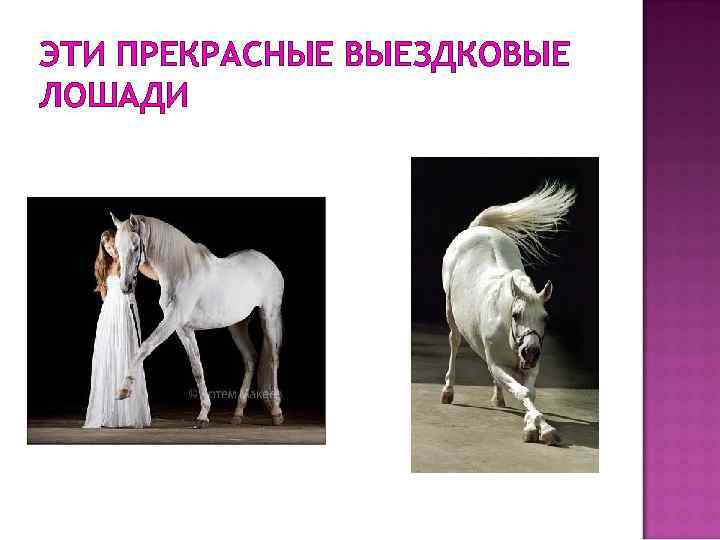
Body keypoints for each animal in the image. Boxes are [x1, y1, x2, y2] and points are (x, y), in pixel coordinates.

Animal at [110, 213, 285, 427]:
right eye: (117, 247)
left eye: (135, 246)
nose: (125, 286)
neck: (181, 272)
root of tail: (268, 263)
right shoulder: (183, 328)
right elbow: (197, 368)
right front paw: (203, 414)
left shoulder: (172, 321)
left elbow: (144, 347)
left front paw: (124, 390)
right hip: (238, 325)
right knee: (251, 358)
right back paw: (238, 413)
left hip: (269, 316)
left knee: (273, 359)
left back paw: (276, 412)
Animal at [440, 182, 576, 445]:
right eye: (516, 315)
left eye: (546, 318)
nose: (530, 351)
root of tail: (477, 229)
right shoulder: (499, 363)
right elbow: (522, 391)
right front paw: (538, 428)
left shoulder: (529, 367)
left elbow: (529, 392)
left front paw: (539, 427)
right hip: (450, 313)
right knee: (454, 342)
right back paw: (448, 391)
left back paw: (499, 398)